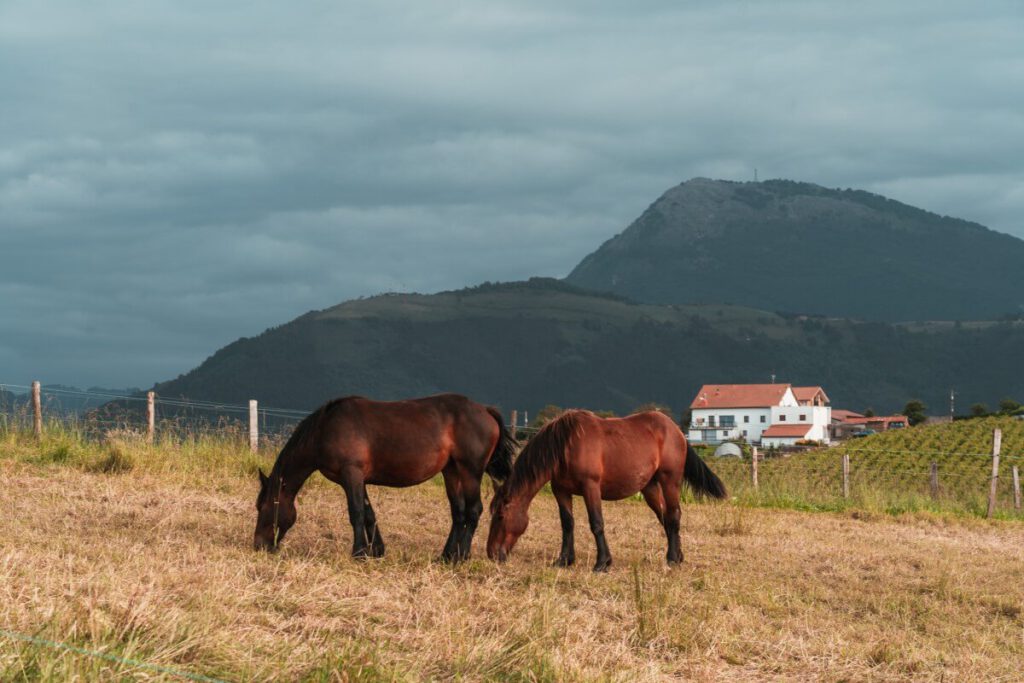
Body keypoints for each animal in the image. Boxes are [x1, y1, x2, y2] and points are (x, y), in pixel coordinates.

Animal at [253, 393, 516, 562]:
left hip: (470, 471)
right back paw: (446, 556)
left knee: (473, 510)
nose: (259, 545)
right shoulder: (357, 479)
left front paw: (359, 553)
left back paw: (462, 556)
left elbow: (357, 512)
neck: (324, 429)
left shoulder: (351, 474)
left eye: (262, 506)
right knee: (458, 512)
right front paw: (376, 550)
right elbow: (369, 513)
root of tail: (485, 410)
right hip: (451, 471)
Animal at [486, 409, 726, 571]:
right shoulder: (560, 490)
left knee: (674, 515)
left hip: (670, 481)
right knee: (665, 517)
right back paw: (678, 555)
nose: (491, 554)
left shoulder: (591, 487)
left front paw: (602, 563)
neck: (565, 445)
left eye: (500, 516)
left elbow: (596, 523)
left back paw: (672, 559)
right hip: (649, 487)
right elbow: (567, 524)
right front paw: (564, 560)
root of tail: (676, 431)